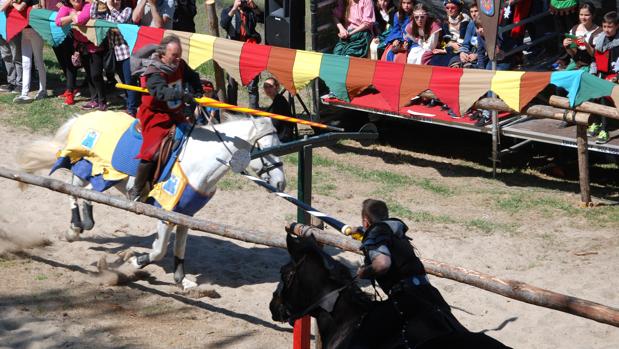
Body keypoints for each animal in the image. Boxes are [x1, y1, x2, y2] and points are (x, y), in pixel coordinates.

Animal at [17, 111, 286, 286]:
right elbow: (159, 250)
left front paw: (181, 279)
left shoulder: (185, 215)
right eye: (266, 150)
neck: (199, 162)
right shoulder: (166, 213)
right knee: (73, 188)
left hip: (99, 171)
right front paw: (136, 262)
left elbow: (179, 246)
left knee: (87, 191)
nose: (281, 183)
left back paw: (87, 221)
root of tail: (83, 118)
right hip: (85, 163)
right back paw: (74, 227)